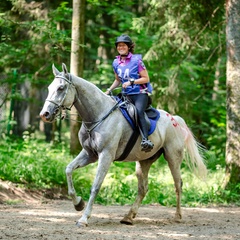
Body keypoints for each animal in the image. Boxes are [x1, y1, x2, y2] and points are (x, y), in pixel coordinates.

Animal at [39, 62, 208, 228]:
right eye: (49, 88)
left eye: (61, 88)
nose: (44, 114)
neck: (99, 115)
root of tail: (175, 119)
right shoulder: (89, 154)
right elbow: (68, 170)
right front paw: (78, 204)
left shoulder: (106, 155)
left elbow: (96, 186)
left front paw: (84, 218)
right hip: (144, 161)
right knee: (143, 188)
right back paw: (128, 217)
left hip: (173, 157)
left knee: (178, 184)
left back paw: (178, 216)